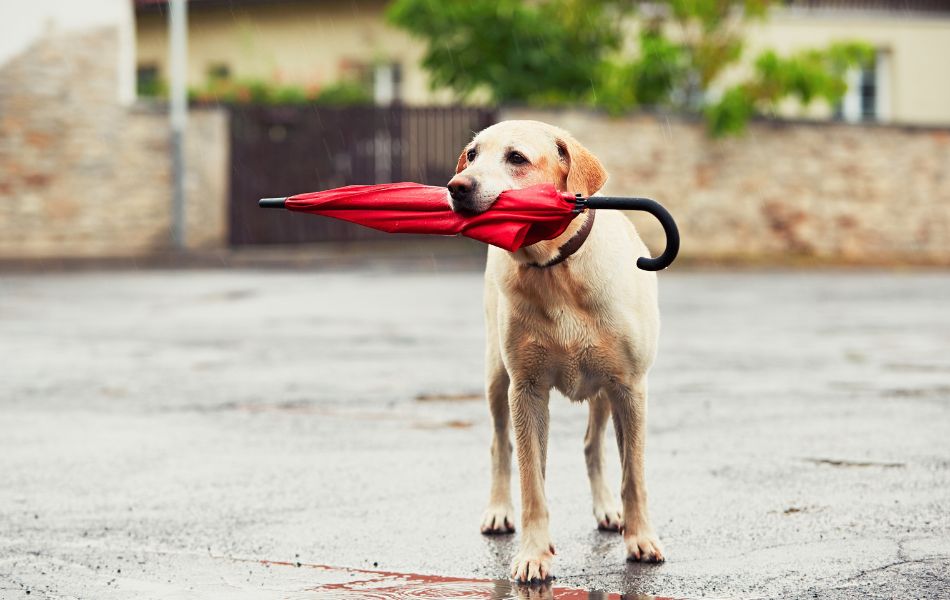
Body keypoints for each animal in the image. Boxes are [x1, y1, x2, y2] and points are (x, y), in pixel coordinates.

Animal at [448, 119, 664, 584]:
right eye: (472, 155)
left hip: (604, 390)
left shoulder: (630, 387)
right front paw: (534, 553)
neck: (556, 270)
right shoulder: (526, 390)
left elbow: (634, 474)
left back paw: (607, 510)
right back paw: (499, 510)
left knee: (591, 444)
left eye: (516, 158)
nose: (457, 187)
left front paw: (640, 538)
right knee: (502, 446)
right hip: (497, 378)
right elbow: (532, 481)